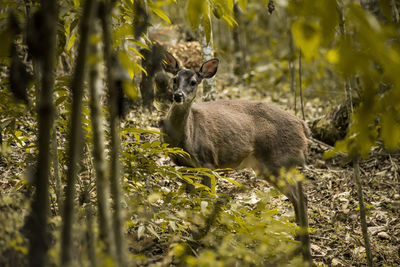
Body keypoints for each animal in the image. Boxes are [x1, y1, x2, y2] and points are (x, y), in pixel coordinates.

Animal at [159, 52, 312, 264]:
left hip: (276, 160)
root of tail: (303, 126)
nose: (178, 95)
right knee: (299, 194)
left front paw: (199, 239)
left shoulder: (208, 161)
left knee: (298, 196)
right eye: (174, 79)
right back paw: (300, 243)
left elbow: (207, 199)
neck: (185, 137)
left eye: (193, 82)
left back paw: (303, 248)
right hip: (272, 166)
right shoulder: (181, 164)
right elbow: (192, 200)